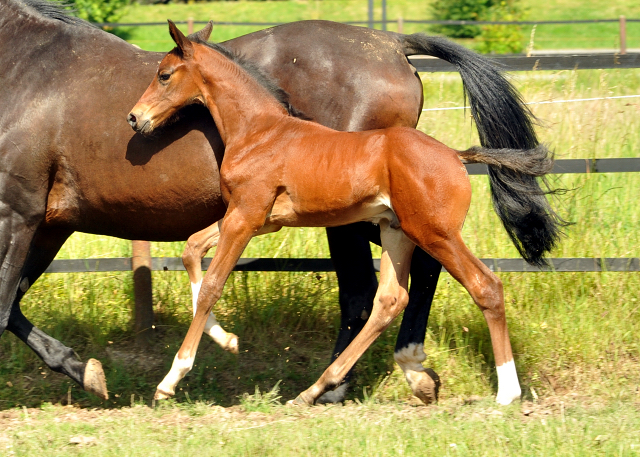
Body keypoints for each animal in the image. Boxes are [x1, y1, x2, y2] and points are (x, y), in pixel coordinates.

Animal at [0, 0, 552, 400]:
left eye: (163, 74)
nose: (135, 119)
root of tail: (393, 43)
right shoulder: (247, 217)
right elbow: (192, 259)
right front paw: (91, 371)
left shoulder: (19, 214)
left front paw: (170, 377)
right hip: (387, 220)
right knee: (398, 289)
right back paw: (392, 374)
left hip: (368, 223)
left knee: (404, 288)